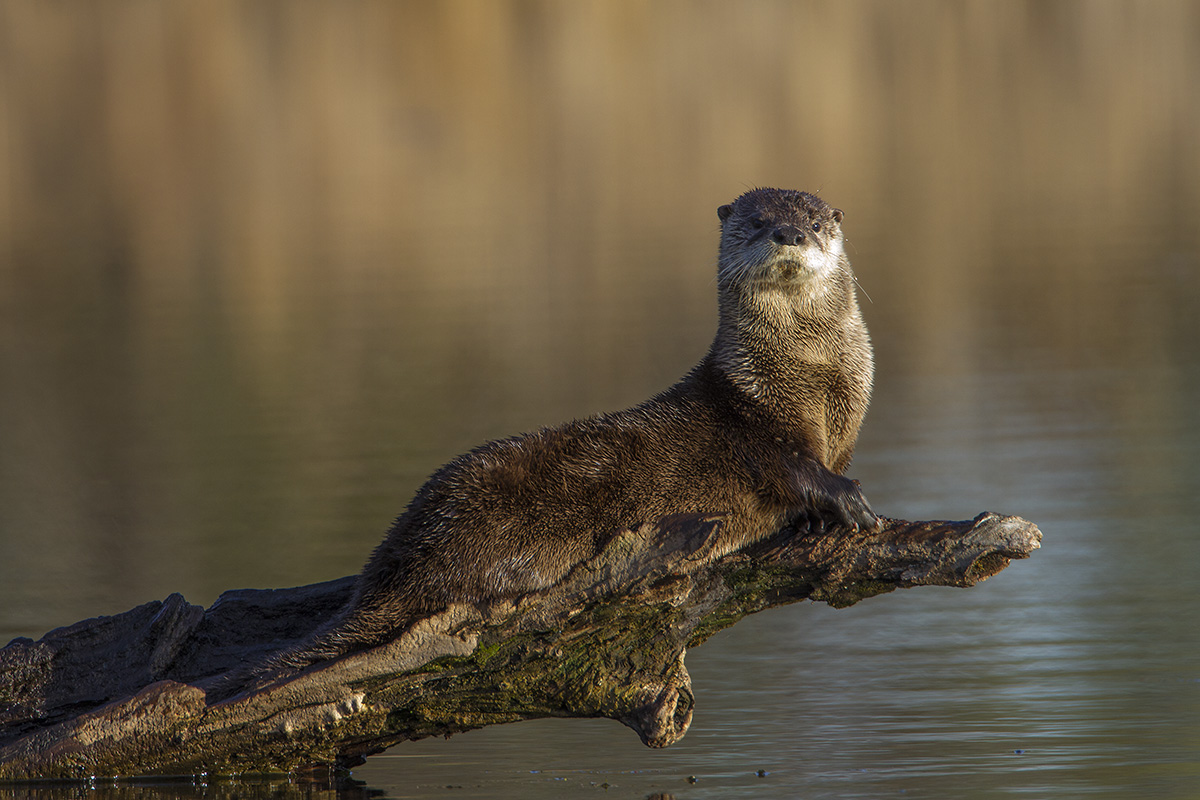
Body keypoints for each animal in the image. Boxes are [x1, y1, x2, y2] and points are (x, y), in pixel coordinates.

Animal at [242, 188, 876, 684]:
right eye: (756, 221)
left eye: (815, 221)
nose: (789, 234)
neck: (812, 375)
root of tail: (399, 548)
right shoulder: (754, 419)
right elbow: (788, 464)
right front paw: (845, 500)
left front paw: (822, 515)